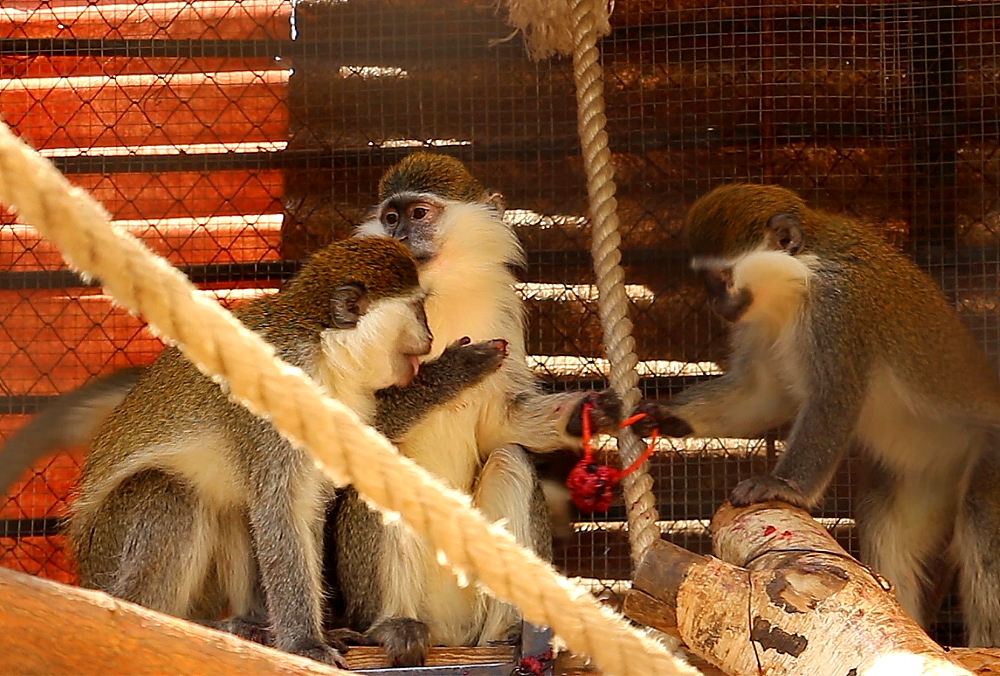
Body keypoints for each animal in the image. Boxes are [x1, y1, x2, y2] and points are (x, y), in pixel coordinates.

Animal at [66, 236, 512, 664]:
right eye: (419, 308)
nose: (430, 337)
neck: (324, 348)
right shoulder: (280, 386)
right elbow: (281, 507)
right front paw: (304, 643)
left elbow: (313, 498)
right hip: (108, 554)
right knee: (170, 492)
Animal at [340, 153, 624, 664]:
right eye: (390, 218)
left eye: (418, 214)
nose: (399, 237)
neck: (438, 291)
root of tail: (450, 633)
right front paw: (452, 372)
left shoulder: (503, 307)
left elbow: (501, 423)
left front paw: (588, 412)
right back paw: (396, 626)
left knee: (511, 461)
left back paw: (510, 631)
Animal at [632, 182, 1000, 648]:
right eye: (706, 283)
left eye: (719, 279)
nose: (715, 304)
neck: (798, 282)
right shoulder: (758, 320)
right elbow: (761, 393)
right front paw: (662, 414)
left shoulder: (837, 312)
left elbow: (832, 397)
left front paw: (784, 486)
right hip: (930, 475)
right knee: (883, 516)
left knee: (980, 524)